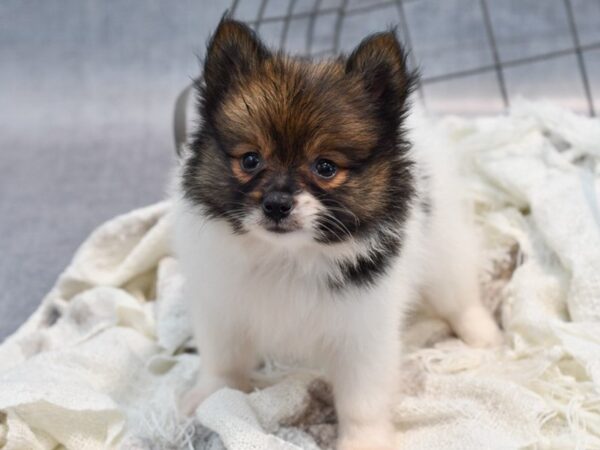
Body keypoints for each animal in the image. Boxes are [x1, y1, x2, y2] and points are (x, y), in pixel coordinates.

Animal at [173, 17, 502, 450]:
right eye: (250, 160)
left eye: (325, 167)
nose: (276, 204)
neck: (288, 256)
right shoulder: (222, 307)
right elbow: (222, 360)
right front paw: (209, 396)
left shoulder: (364, 333)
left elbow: (362, 400)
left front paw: (364, 441)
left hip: (444, 243)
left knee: (458, 295)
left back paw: (483, 334)